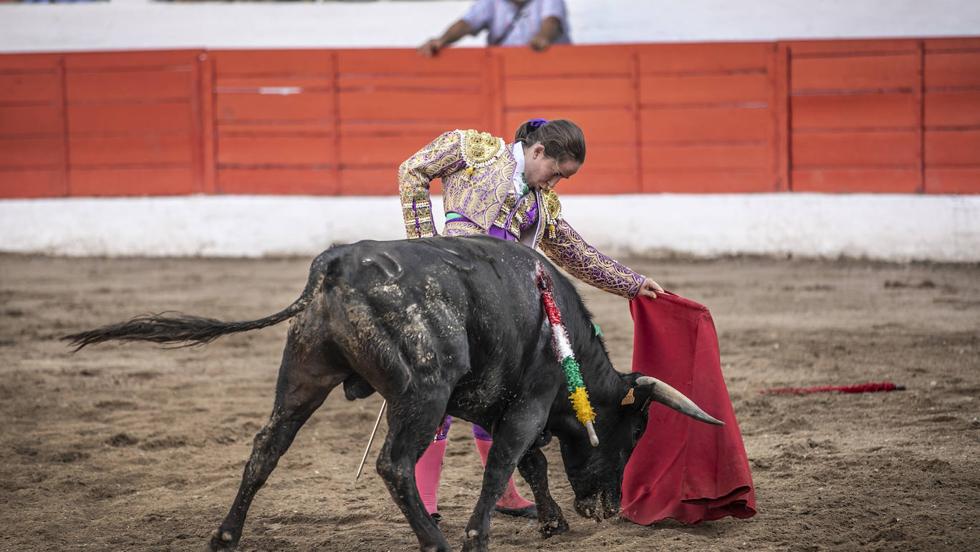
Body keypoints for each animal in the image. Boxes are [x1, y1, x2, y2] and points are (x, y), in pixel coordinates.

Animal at [63, 236, 720, 552]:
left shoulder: (493, 402)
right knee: (394, 463)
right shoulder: (528, 401)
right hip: (422, 392)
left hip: (303, 376)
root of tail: (332, 268)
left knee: (266, 447)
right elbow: (508, 460)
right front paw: (479, 536)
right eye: (632, 435)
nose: (608, 508)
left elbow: (529, 463)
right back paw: (435, 541)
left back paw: (225, 536)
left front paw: (552, 521)